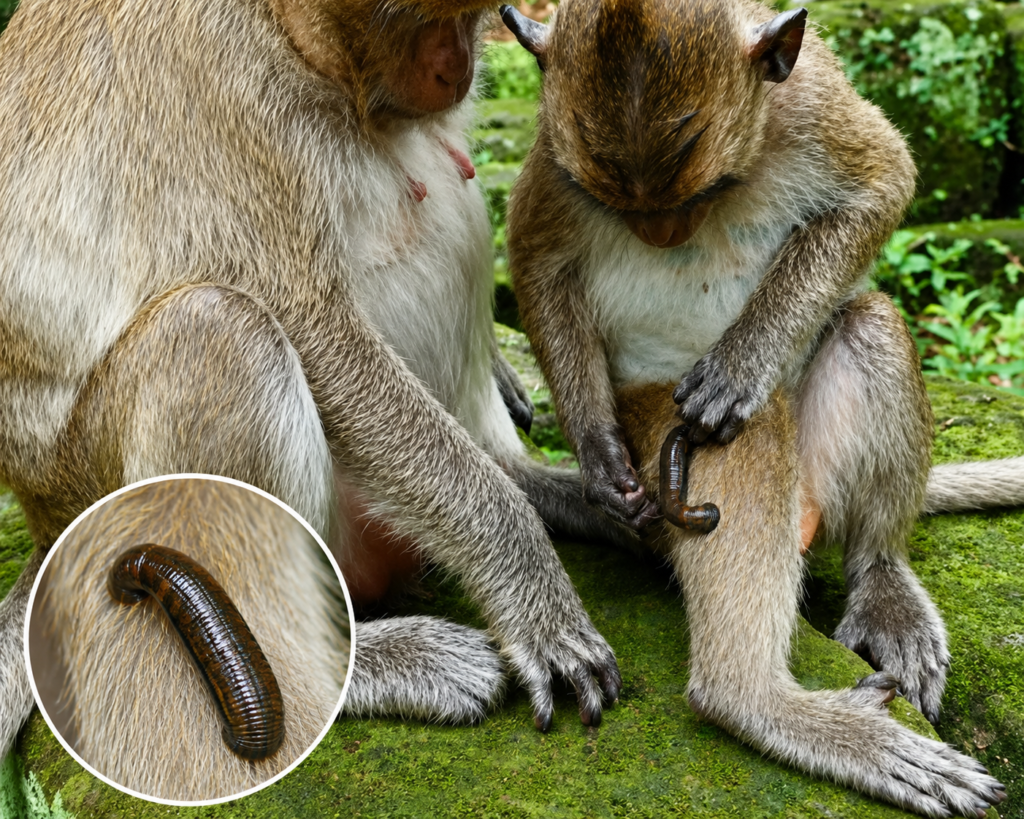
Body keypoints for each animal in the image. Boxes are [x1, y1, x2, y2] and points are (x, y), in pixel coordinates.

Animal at [502, 0, 1024, 815]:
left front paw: (742, 363)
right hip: (662, 443)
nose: (661, 234)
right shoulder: (559, 162)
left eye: (697, 194)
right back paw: (757, 700)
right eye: (618, 204)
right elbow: (536, 256)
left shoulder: (812, 105)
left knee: (867, 326)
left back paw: (880, 578)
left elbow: (883, 182)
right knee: (731, 450)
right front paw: (596, 451)